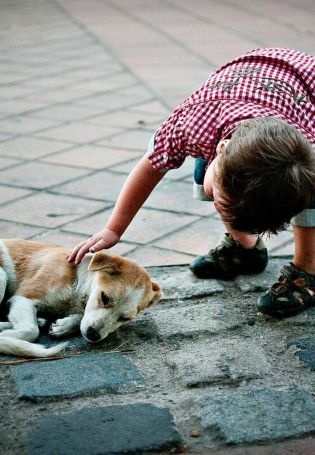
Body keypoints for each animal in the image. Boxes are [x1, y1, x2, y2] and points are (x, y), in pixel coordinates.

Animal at [0, 239, 162, 360]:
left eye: (125, 318)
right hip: (2, 276)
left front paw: (65, 325)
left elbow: (81, 317)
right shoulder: (24, 297)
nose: (93, 335)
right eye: (104, 297)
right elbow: (31, 331)